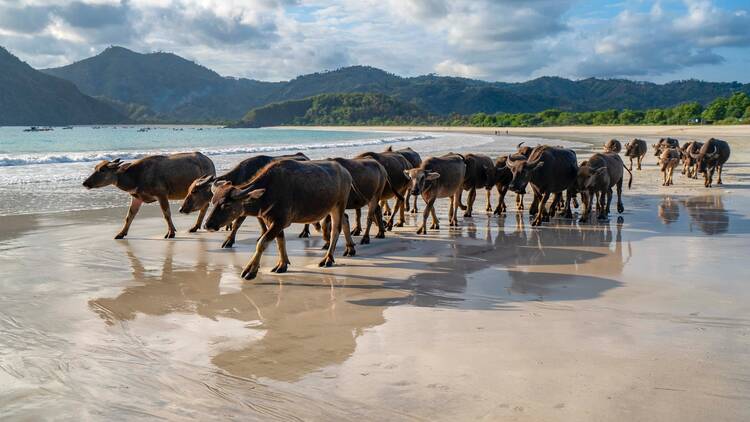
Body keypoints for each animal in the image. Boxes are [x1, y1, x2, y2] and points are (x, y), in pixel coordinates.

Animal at [83, 152, 216, 239]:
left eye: (102, 170)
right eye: (96, 168)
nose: (85, 183)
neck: (136, 176)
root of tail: (209, 161)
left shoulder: (161, 195)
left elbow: (166, 214)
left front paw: (171, 233)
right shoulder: (136, 198)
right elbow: (129, 216)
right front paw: (121, 233)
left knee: (204, 206)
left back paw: (194, 227)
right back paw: (195, 227)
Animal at [179, 152, 312, 246]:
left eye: (194, 191)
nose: (181, 208)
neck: (241, 176)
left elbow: (237, 223)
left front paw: (229, 241)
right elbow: (260, 220)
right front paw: (263, 234)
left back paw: (305, 232)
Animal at [204, 160, 356, 278]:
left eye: (226, 204)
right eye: (213, 201)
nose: (207, 225)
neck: (269, 191)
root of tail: (346, 173)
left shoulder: (280, 222)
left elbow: (262, 243)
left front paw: (251, 270)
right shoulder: (273, 221)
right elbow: (280, 241)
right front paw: (282, 265)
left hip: (339, 205)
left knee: (335, 230)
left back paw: (328, 259)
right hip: (333, 207)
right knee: (345, 219)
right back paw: (350, 249)